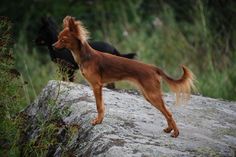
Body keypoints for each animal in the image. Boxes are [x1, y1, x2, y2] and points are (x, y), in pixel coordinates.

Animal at [53, 15, 195, 137]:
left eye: (63, 38)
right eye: (58, 37)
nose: (53, 46)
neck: (86, 57)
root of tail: (153, 68)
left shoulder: (96, 86)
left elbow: (99, 106)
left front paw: (98, 121)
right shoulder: (98, 86)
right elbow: (101, 106)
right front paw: (100, 120)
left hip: (152, 95)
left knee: (169, 113)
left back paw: (175, 133)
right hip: (149, 95)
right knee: (166, 112)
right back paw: (169, 129)